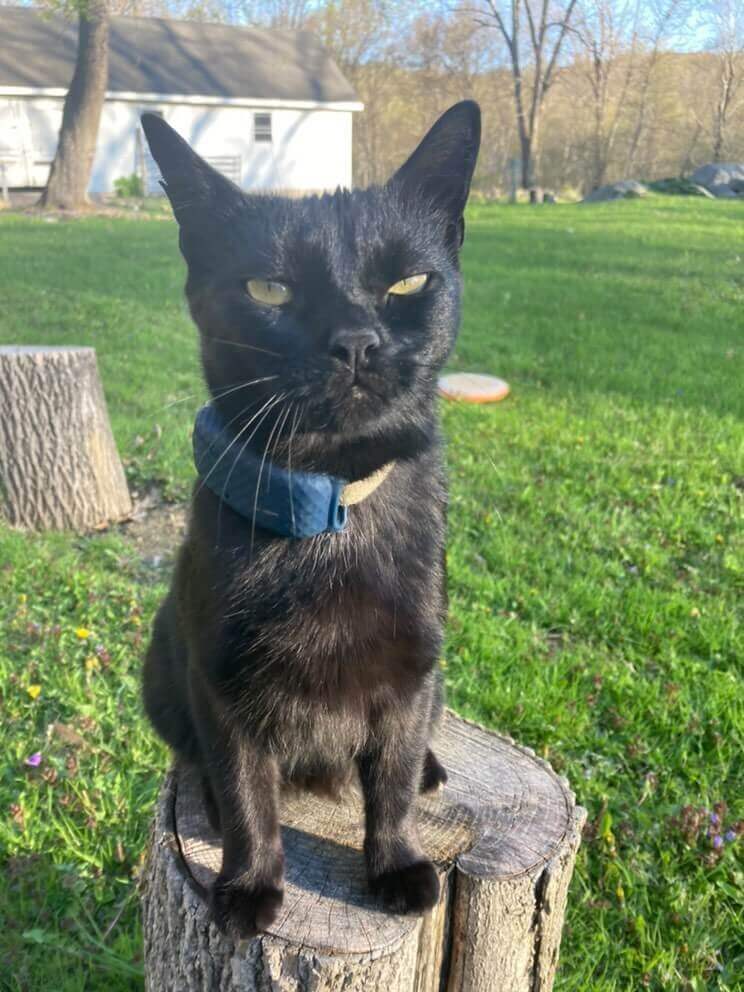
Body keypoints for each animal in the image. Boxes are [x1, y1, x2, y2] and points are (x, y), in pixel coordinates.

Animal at [142, 102, 480, 936]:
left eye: (407, 282)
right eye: (268, 289)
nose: (356, 341)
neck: (327, 511)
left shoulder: (412, 670)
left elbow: (390, 778)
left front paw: (396, 866)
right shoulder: (221, 682)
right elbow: (246, 789)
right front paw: (248, 884)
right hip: (162, 663)